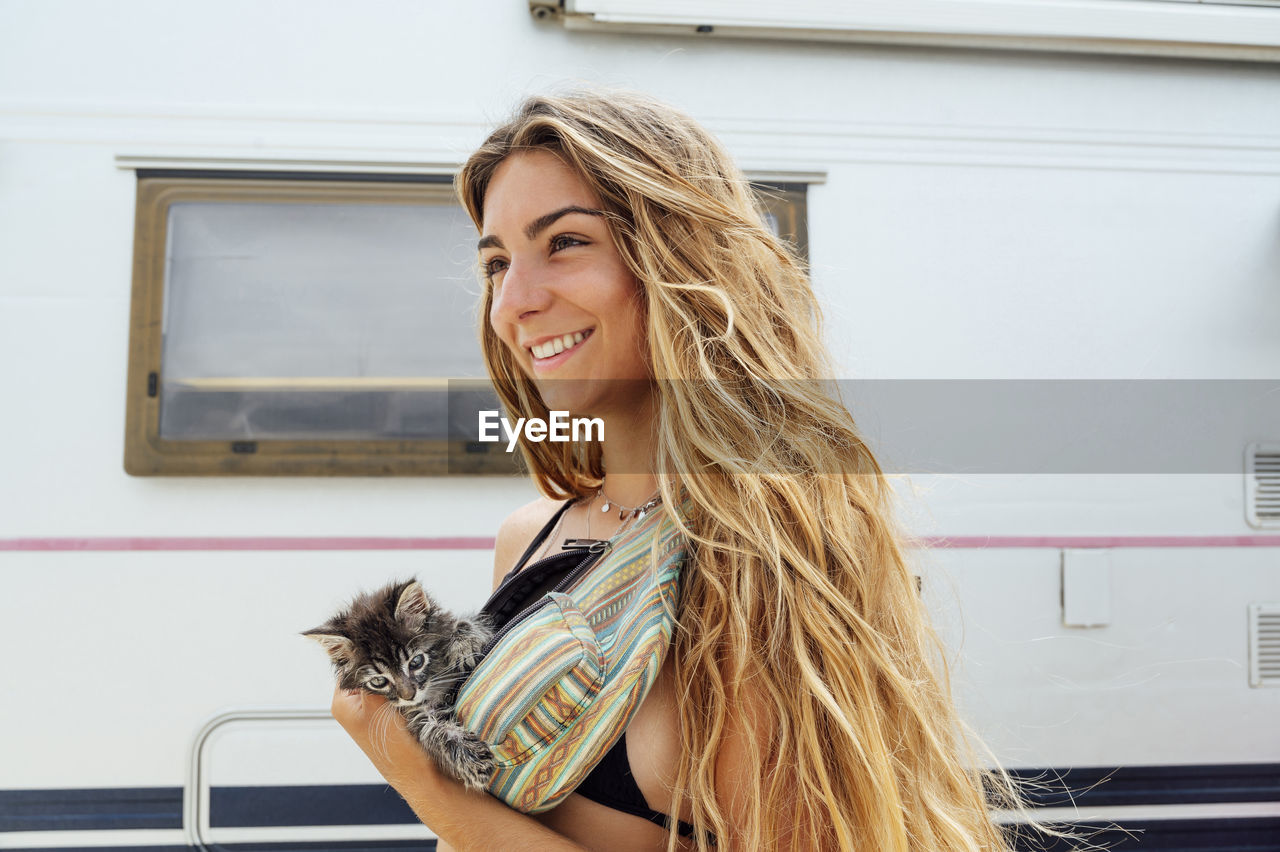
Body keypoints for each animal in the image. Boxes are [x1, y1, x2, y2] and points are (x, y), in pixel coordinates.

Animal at [302, 578, 496, 788]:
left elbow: (465, 622)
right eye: (379, 681)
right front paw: (468, 755)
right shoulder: (415, 711)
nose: (409, 695)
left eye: (416, 662)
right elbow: (431, 728)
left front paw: (465, 644)